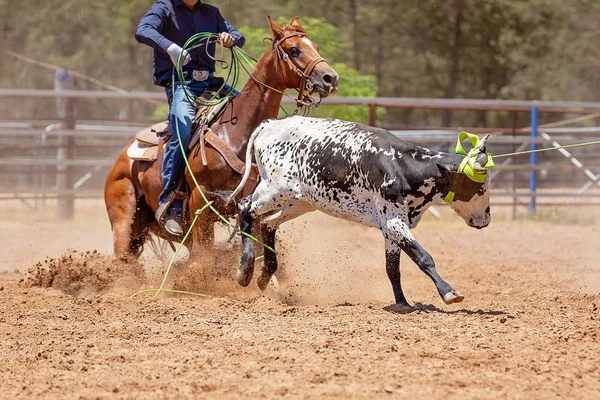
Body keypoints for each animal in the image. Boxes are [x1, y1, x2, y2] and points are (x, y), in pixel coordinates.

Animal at [103, 15, 338, 260]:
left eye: (316, 47)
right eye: (293, 50)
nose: (330, 78)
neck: (238, 133)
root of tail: (120, 160)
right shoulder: (200, 201)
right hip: (125, 222)